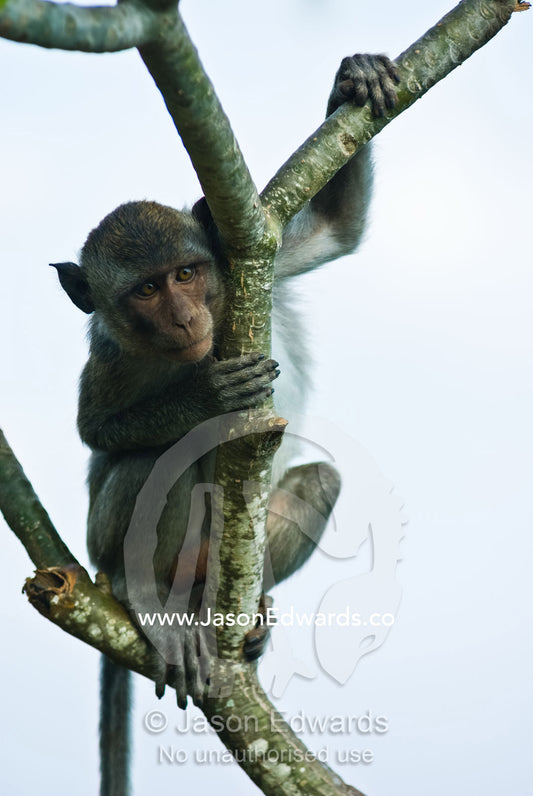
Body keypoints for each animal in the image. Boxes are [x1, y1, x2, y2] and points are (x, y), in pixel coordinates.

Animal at [53, 53, 399, 796]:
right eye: (147, 290)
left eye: (188, 273)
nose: (186, 318)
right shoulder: (110, 356)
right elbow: (97, 432)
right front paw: (207, 397)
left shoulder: (253, 268)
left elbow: (337, 231)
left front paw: (355, 80)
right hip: (101, 545)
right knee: (155, 463)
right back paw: (144, 595)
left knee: (317, 482)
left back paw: (250, 622)